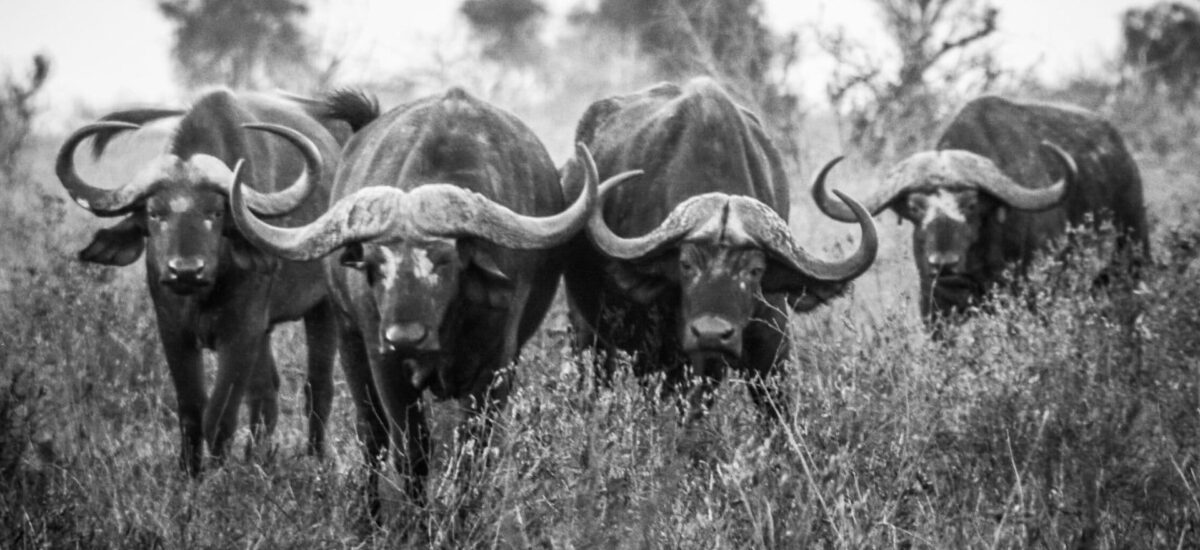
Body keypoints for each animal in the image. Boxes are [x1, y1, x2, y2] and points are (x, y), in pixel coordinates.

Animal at [55, 89, 368, 474]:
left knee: (317, 386)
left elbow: (219, 414)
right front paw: (190, 472)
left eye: (216, 213)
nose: (185, 270)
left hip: (323, 310)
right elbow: (192, 409)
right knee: (266, 391)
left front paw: (218, 473)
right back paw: (256, 458)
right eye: (155, 214)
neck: (201, 294)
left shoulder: (240, 331)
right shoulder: (174, 332)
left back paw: (315, 458)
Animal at [231, 87, 615, 515]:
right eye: (374, 264)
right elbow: (411, 451)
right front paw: (416, 520)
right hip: (349, 339)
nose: (405, 337)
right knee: (371, 434)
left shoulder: (497, 364)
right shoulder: (385, 363)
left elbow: (472, 451)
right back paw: (370, 515)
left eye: (445, 260)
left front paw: (464, 517)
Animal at [564, 77, 878, 423]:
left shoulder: (771, 346)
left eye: (755, 270)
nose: (711, 333)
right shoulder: (656, 353)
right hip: (587, 330)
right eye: (686, 265)